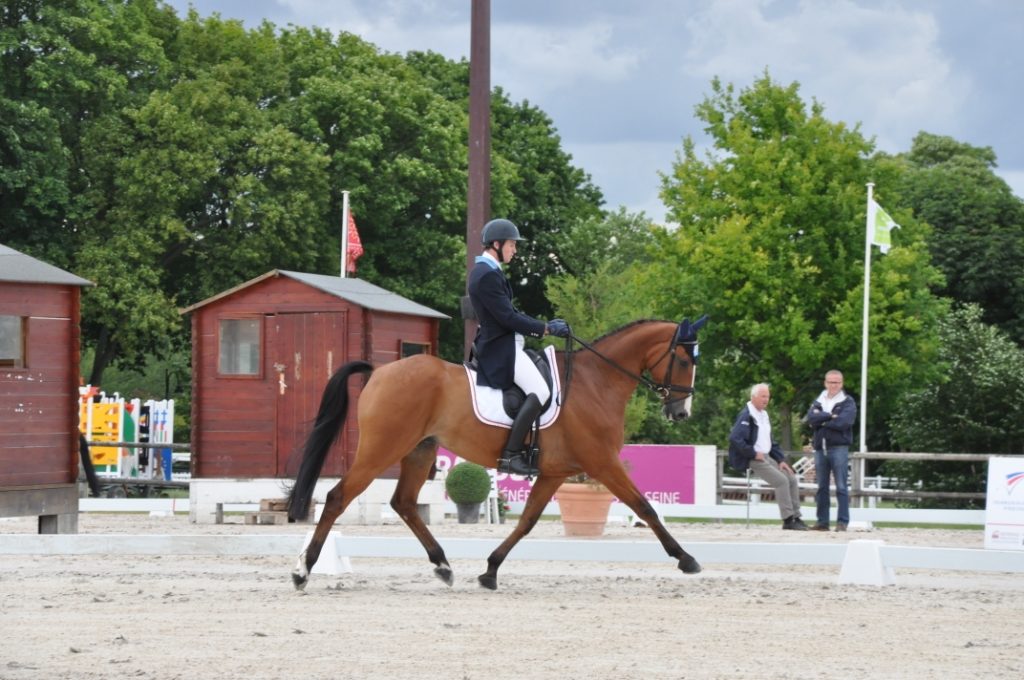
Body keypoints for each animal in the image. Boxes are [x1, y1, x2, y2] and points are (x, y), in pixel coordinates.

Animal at [284, 317, 708, 589]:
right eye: (684, 360)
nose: (681, 412)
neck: (595, 381)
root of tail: (378, 372)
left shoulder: (555, 472)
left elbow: (527, 522)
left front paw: (490, 570)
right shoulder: (602, 462)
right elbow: (645, 507)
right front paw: (686, 559)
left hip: (420, 451)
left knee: (403, 503)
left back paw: (443, 566)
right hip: (381, 449)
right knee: (337, 497)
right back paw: (303, 571)